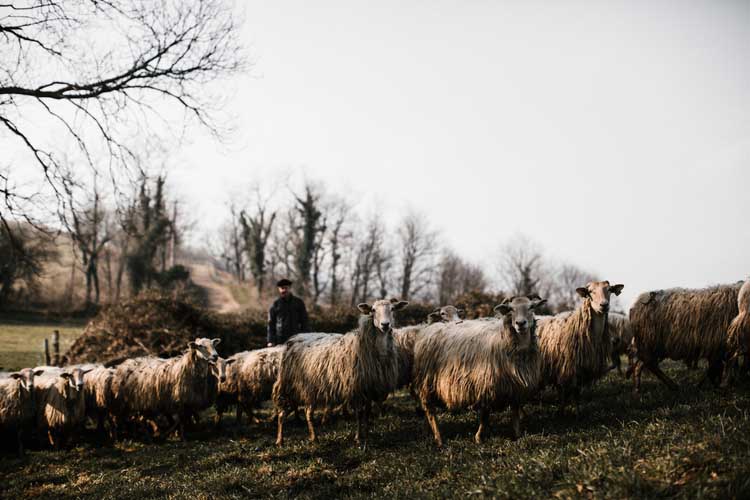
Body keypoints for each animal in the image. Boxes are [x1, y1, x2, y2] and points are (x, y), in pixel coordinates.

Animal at [274, 298, 408, 448]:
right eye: (373, 310)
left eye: (392, 309)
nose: (385, 325)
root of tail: (293, 339)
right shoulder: (356, 388)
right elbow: (359, 414)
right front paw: (358, 438)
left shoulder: (370, 387)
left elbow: (367, 413)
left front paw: (367, 435)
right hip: (289, 385)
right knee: (282, 414)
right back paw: (280, 440)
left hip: (310, 389)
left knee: (308, 413)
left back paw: (314, 438)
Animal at [412, 294, 548, 448]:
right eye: (511, 309)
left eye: (532, 307)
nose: (520, 323)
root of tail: (430, 327)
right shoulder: (485, 383)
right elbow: (485, 415)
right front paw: (478, 437)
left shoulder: (515, 385)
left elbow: (515, 411)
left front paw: (517, 434)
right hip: (426, 380)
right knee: (430, 411)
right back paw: (438, 438)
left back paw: (427, 432)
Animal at [536, 280, 624, 412]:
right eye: (591, 291)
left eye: (609, 290)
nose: (604, 305)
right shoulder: (566, 368)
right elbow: (564, 393)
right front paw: (562, 412)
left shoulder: (581, 369)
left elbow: (577, 393)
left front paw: (577, 411)